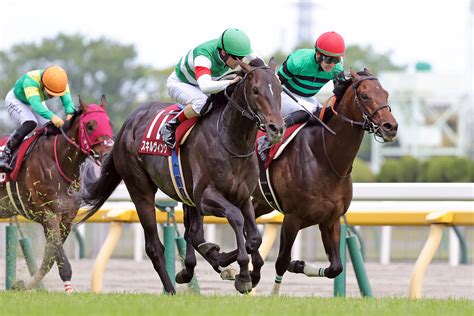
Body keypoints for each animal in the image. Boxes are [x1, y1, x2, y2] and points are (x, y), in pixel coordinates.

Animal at [0, 95, 114, 292]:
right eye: (90, 125)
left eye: (109, 123)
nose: (108, 155)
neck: (58, 161)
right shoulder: (48, 215)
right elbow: (59, 257)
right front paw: (68, 289)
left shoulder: (67, 218)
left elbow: (50, 258)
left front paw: (22, 284)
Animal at [78, 58, 286, 296]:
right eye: (255, 90)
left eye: (279, 89)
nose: (277, 128)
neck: (231, 141)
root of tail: (126, 125)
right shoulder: (205, 196)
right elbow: (235, 218)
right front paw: (243, 274)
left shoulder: (242, 196)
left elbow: (254, 238)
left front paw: (251, 270)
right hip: (140, 188)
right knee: (155, 246)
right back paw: (171, 289)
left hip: (185, 194)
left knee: (193, 233)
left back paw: (205, 262)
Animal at [254, 68, 398, 294]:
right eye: (365, 95)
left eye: (385, 93)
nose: (391, 126)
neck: (324, 158)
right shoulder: (292, 219)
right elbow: (281, 260)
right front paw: (273, 293)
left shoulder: (330, 219)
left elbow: (336, 267)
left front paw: (299, 264)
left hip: (261, 202)